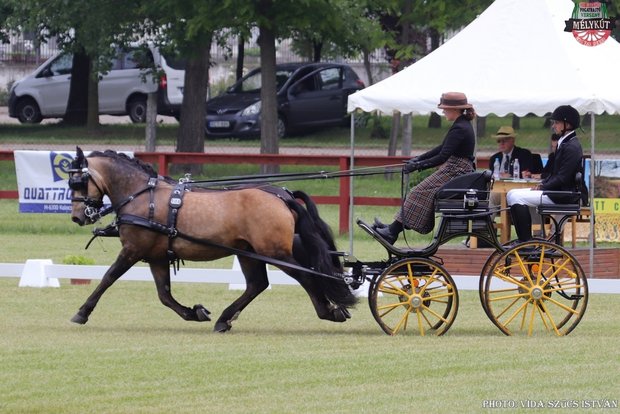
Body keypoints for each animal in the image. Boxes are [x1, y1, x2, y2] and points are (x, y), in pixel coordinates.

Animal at [67, 147, 356, 332]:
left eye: (78, 182)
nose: (78, 217)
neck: (141, 196)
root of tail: (281, 196)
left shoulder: (132, 250)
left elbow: (108, 277)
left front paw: (82, 312)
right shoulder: (157, 257)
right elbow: (164, 294)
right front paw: (194, 312)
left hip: (275, 252)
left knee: (304, 276)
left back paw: (327, 311)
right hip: (249, 253)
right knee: (257, 284)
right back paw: (225, 319)